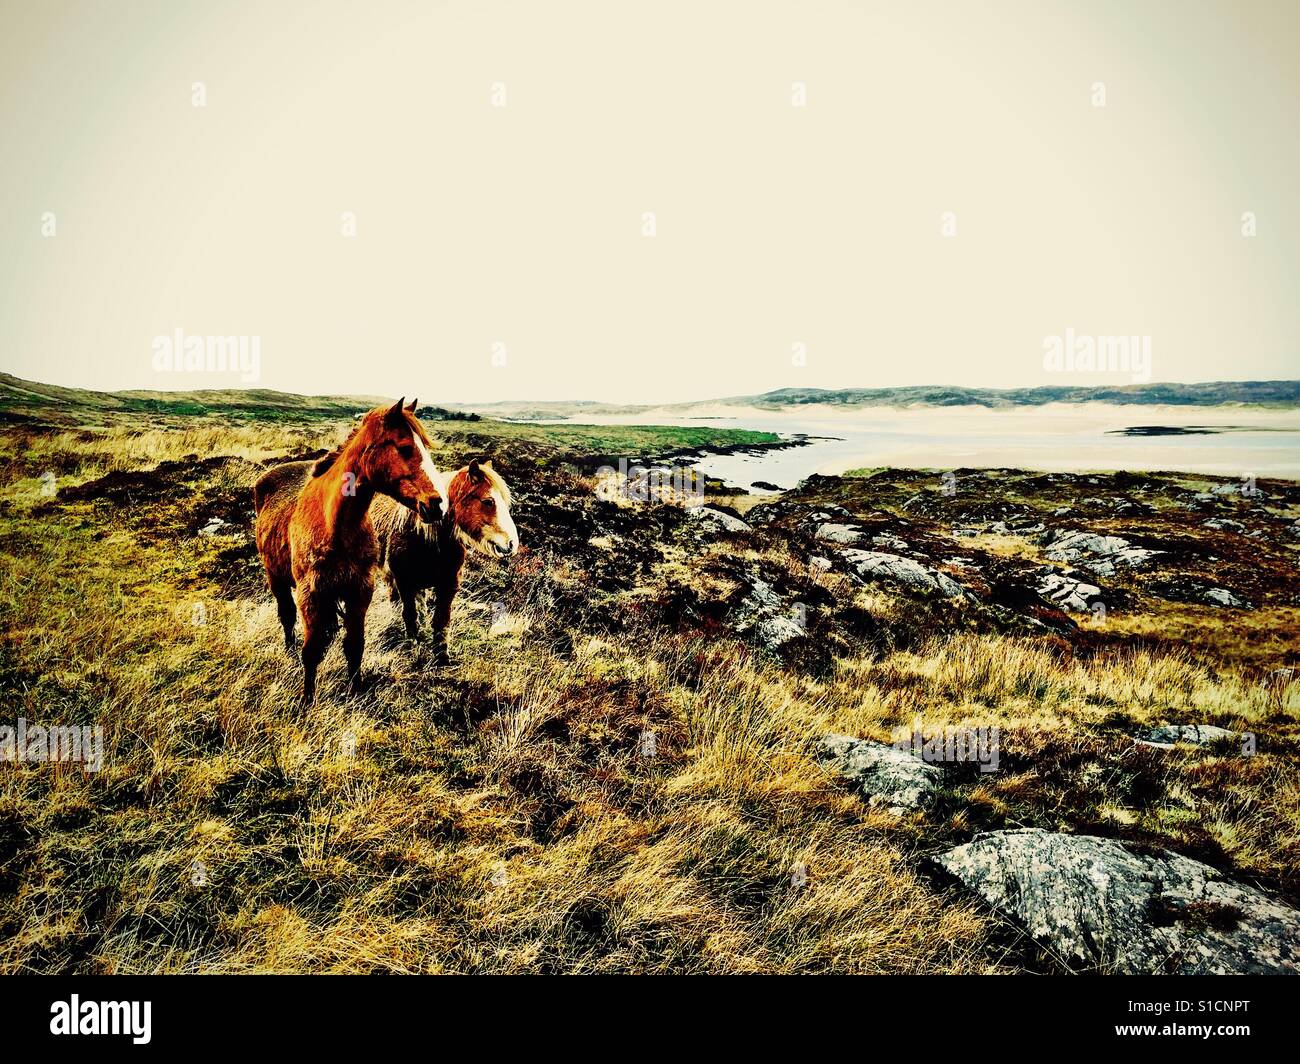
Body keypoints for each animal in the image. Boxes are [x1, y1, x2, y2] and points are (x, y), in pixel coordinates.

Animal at [252, 398, 449, 704]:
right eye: (405, 447)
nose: (437, 505)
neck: (336, 525)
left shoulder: (359, 591)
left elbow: (355, 646)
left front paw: (356, 691)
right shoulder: (311, 593)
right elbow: (311, 650)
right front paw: (307, 700)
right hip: (276, 578)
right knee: (286, 615)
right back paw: (289, 653)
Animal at [370, 459, 519, 663]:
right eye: (488, 501)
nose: (512, 544)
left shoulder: (449, 584)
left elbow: (441, 619)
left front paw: (441, 655)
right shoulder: (405, 583)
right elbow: (410, 615)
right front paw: (414, 651)